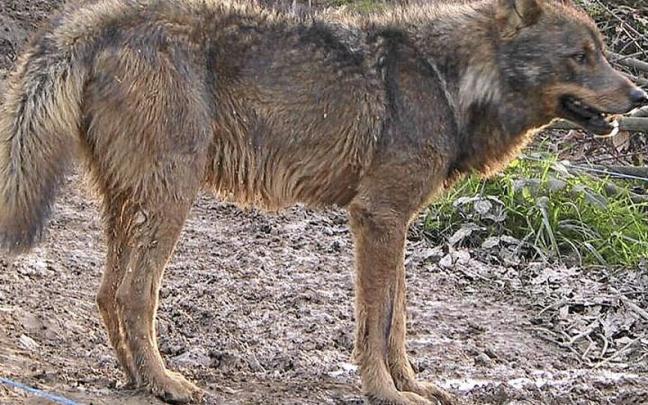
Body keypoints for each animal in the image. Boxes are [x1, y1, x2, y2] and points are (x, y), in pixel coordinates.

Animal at [0, 0, 645, 403]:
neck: (451, 81)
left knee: (107, 293)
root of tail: (100, 18)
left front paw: (411, 387)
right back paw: (165, 383)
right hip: (171, 201)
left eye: (601, 52)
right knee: (135, 296)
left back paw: (136, 379)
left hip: (130, 205)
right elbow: (375, 323)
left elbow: (396, 322)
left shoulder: (394, 223)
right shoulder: (376, 219)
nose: (639, 94)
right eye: (580, 56)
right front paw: (384, 393)